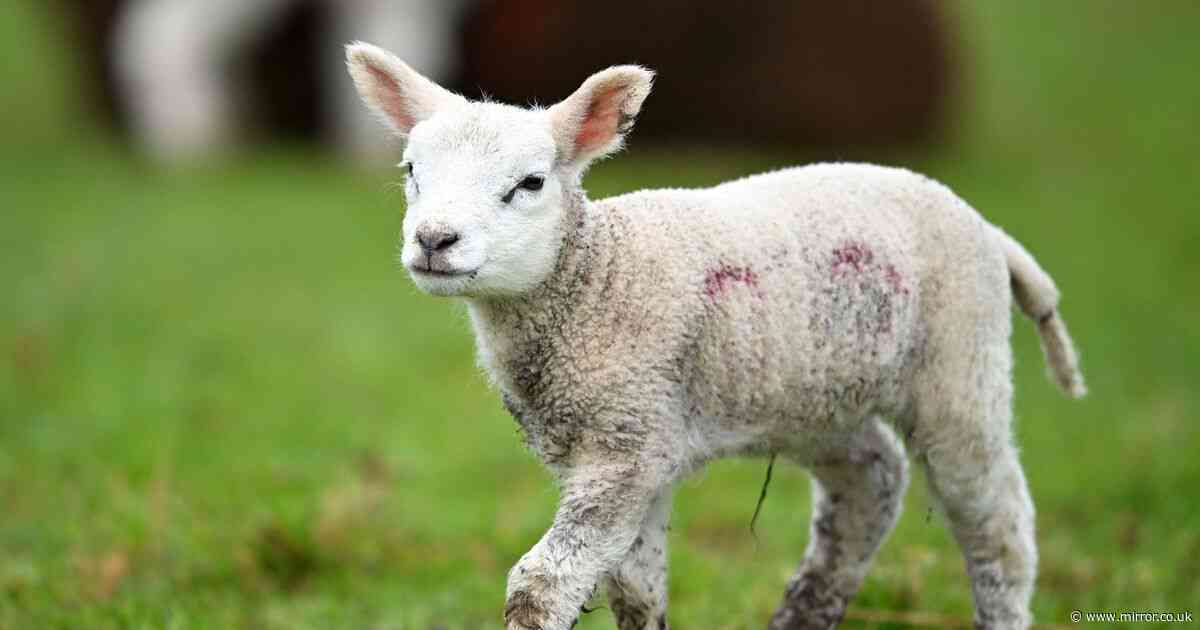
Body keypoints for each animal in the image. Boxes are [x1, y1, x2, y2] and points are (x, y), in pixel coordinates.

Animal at [348, 40, 1089, 628]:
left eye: (529, 183)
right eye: (412, 172)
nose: (434, 240)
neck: (597, 277)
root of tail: (989, 230)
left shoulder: (628, 441)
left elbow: (542, 586)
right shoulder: (633, 447)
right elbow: (636, 593)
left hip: (961, 364)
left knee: (998, 530)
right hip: (812, 391)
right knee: (869, 480)